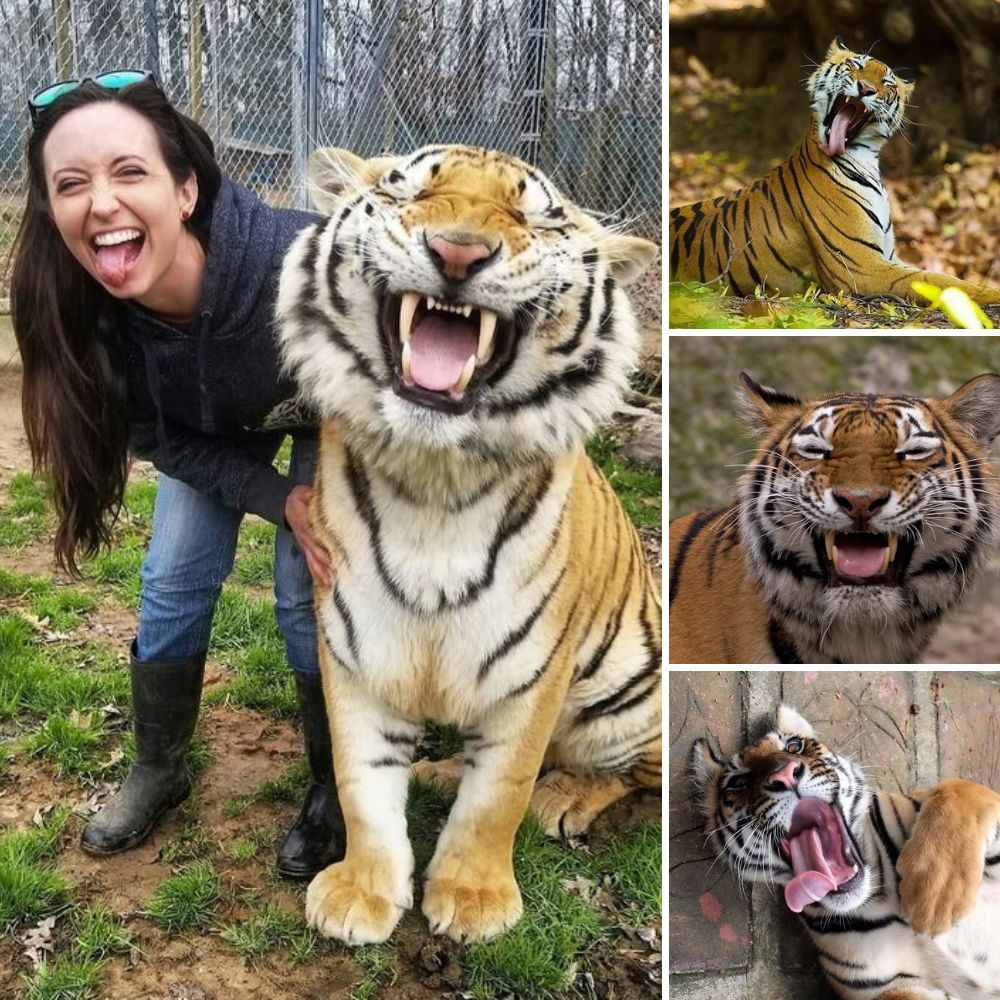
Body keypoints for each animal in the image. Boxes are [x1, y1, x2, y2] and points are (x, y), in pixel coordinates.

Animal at [276, 145, 664, 940]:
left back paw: (566, 798)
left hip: (626, 695)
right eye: (410, 192)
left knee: (639, 773)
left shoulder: (533, 670)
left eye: (534, 216)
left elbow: (501, 791)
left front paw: (475, 898)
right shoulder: (357, 646)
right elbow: (360, 778)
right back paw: (437, 771)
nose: (458, 252)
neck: (433, 478)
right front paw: (361, 892)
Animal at [692, 704, 1000, 1000]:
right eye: (738, 782)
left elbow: (957, 790)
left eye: (794, 746)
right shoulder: (888, 988)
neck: (879, 896)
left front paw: (935, 898)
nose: (784, 775)